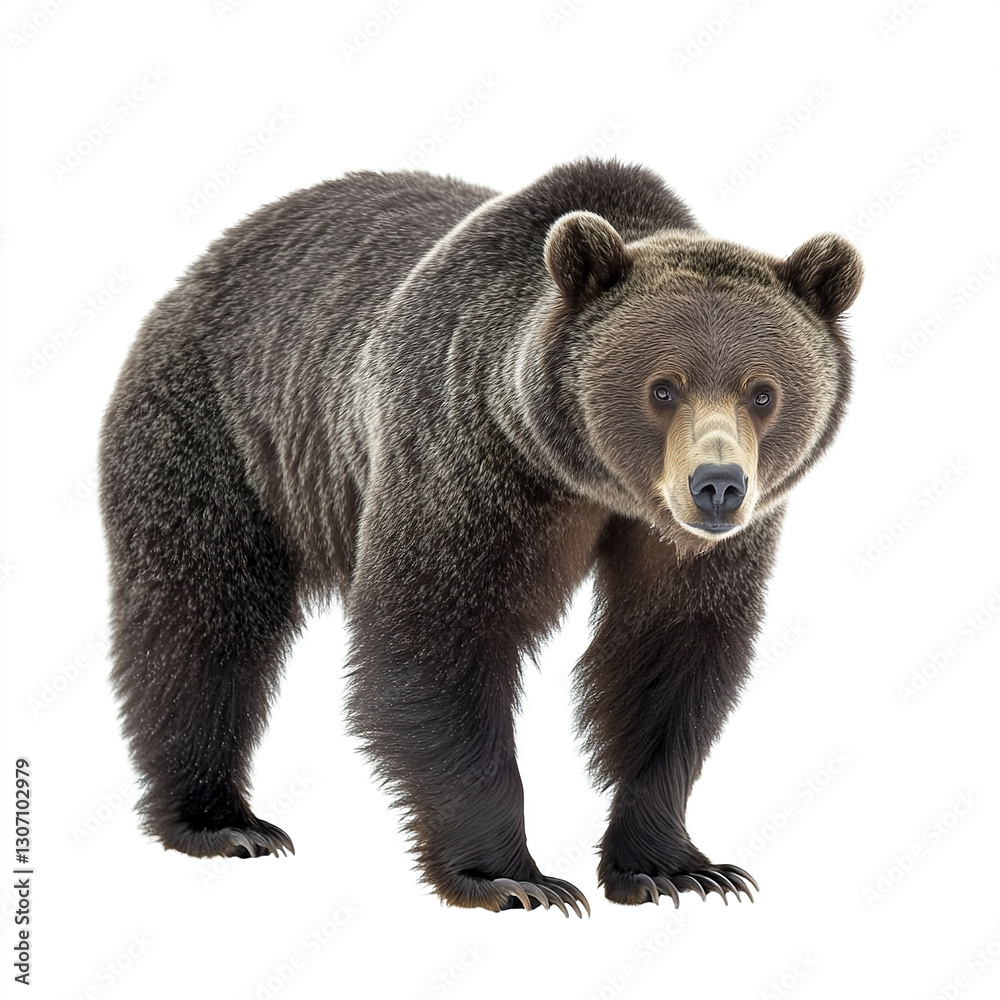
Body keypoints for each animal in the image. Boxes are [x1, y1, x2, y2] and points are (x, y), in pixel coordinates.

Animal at [99, 159, 862, 916]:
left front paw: (678, 870)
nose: (717, 485)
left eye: (762, 392)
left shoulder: (694, 546)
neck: (586, 479)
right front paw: (512, 877)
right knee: (202, 618)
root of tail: (205, 263)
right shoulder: (468, 460)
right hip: (221, 437)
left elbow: (667, 656)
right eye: (662, 388)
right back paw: (223, 822)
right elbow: (435, 636)